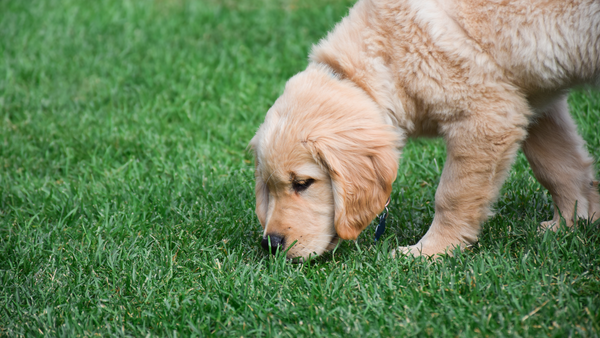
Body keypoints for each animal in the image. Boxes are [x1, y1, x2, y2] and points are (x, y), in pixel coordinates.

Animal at [250, 0, 600, 260]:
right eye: (269, 186)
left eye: (302, 183)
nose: (271, 245)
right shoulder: (532, 99)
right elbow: (558, 166)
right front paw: (572, 223)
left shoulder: (488, 114)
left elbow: (453, 195)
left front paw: (431, 251)